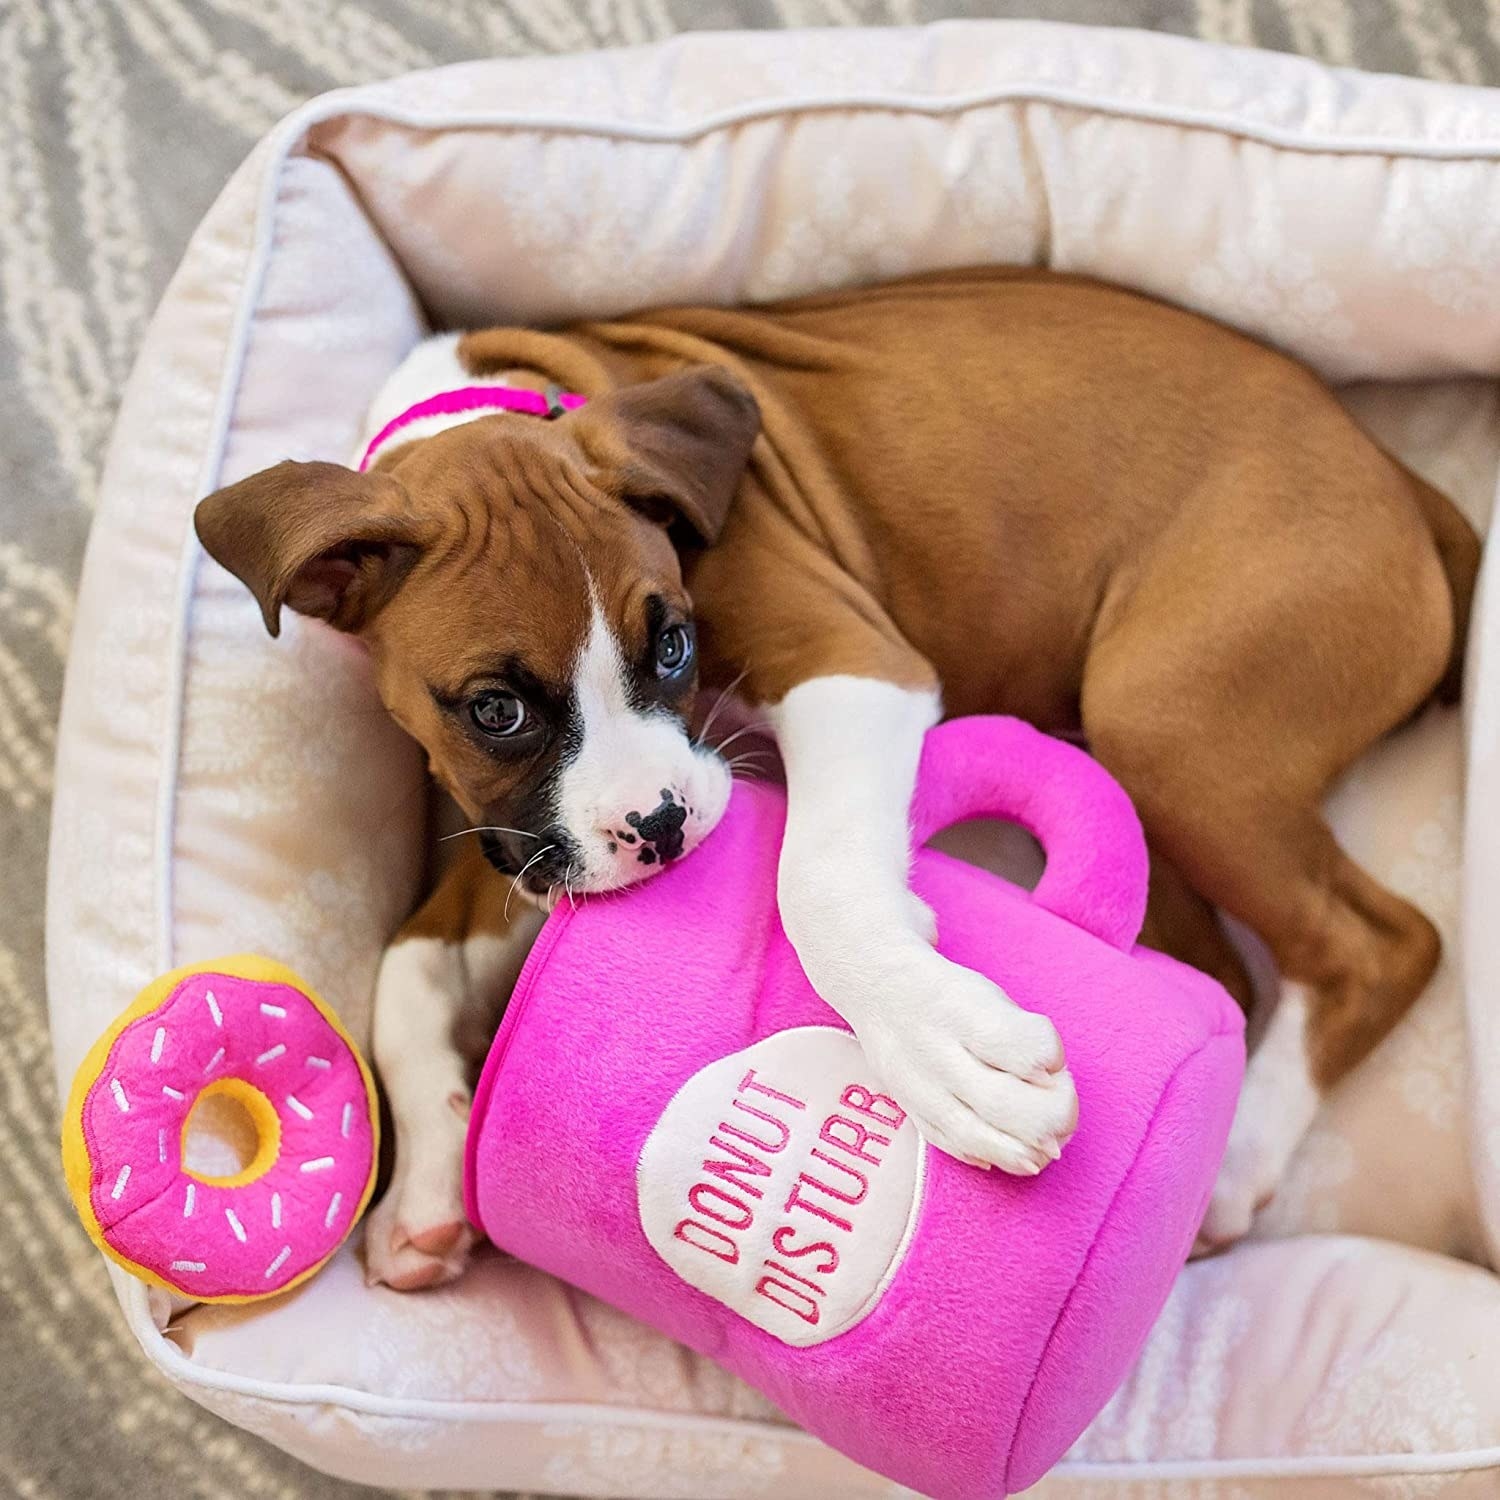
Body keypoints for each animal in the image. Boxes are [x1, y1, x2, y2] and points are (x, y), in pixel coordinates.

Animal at [196, 270, 1476, 1290]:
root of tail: (1404, 486)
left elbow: (819, 880)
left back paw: (1241, 1159)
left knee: (1378, 943)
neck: (495, 404)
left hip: (1165, 718)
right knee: (1232, 969)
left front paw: (942, 1048)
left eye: (675, 643)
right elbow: (402, 971)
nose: (663, 827)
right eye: (495, 710)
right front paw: (424, 1188)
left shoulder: (854, 664)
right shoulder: (522, 836)